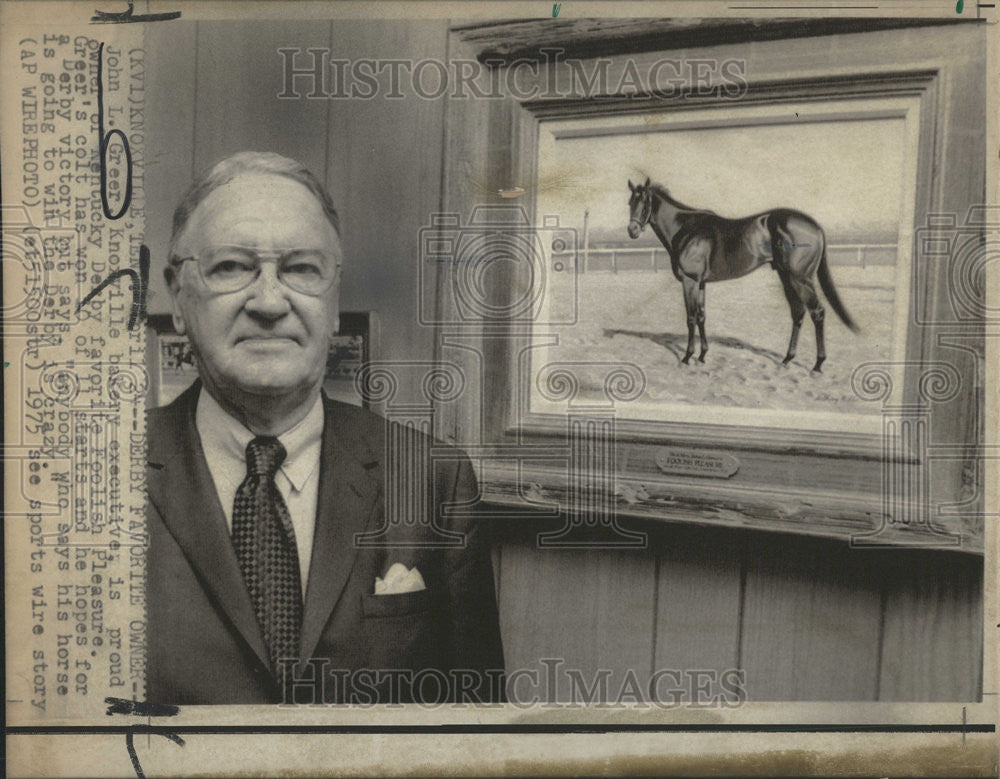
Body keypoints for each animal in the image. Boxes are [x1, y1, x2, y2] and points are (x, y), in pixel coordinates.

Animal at [628, 178, 856, 374]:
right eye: (630, 202)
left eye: (645, 203)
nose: (632, 231)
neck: (686, 228)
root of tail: (816, 226)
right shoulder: (701, 283)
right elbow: (702, 316)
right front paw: (702, 355)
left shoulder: (689, 280)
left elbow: (691, 317)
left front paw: (687, 357)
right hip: (787, 277)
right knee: (798, 313)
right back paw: (787, 359)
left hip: (801, 279)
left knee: (817, 312)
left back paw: (817, 365)